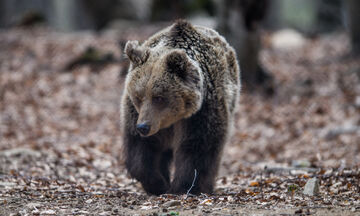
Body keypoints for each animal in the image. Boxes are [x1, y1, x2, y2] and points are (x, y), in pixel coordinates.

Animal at [120, 19, 239, 196]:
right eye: (138, 96)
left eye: (159, 97)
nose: (143, 127)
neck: (172, 119)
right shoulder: (136, 114)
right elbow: (140, 149)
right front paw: (158, 183)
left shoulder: (201, 112)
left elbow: (197, 148)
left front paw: (183, 187)